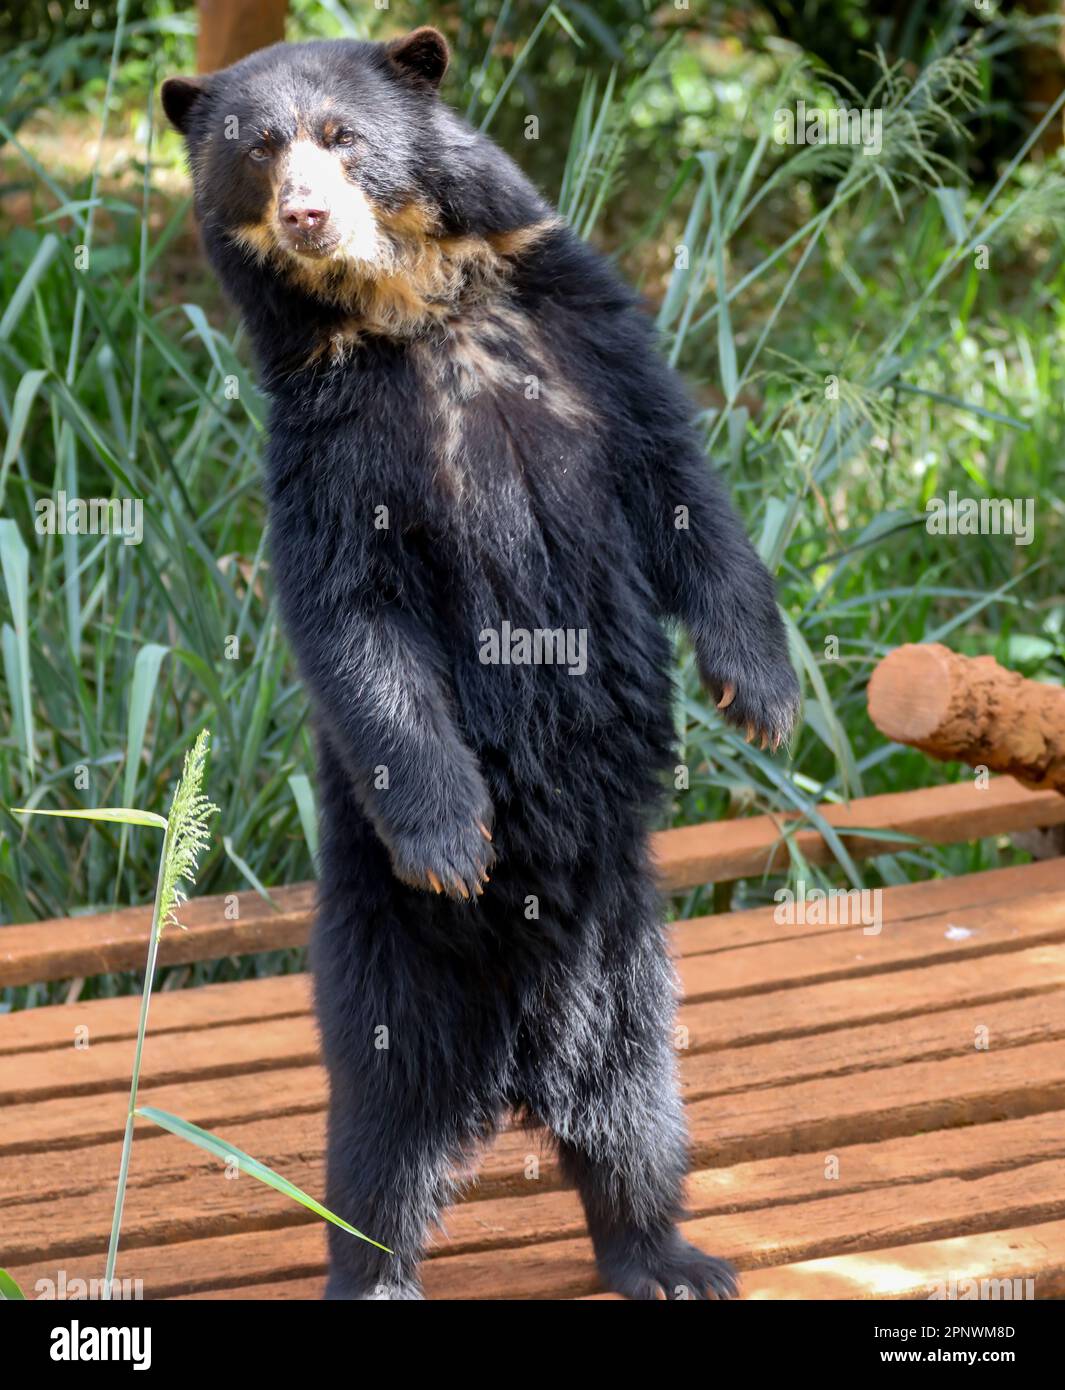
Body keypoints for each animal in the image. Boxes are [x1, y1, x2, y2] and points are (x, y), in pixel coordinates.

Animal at [162, 27, 800, 1300]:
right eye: (257, 150)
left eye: (343, 136)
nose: (307, 214)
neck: (415, 305)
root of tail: (515, 1069)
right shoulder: (329, 437)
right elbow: (355, 616)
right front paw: (456, 839)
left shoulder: (589, 336)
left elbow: (683, 490)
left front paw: (761, 694)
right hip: (386, 972)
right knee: (380, 1154)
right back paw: (378, 1270)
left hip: (629, 973)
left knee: (634, 1119)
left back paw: (668, 1255)